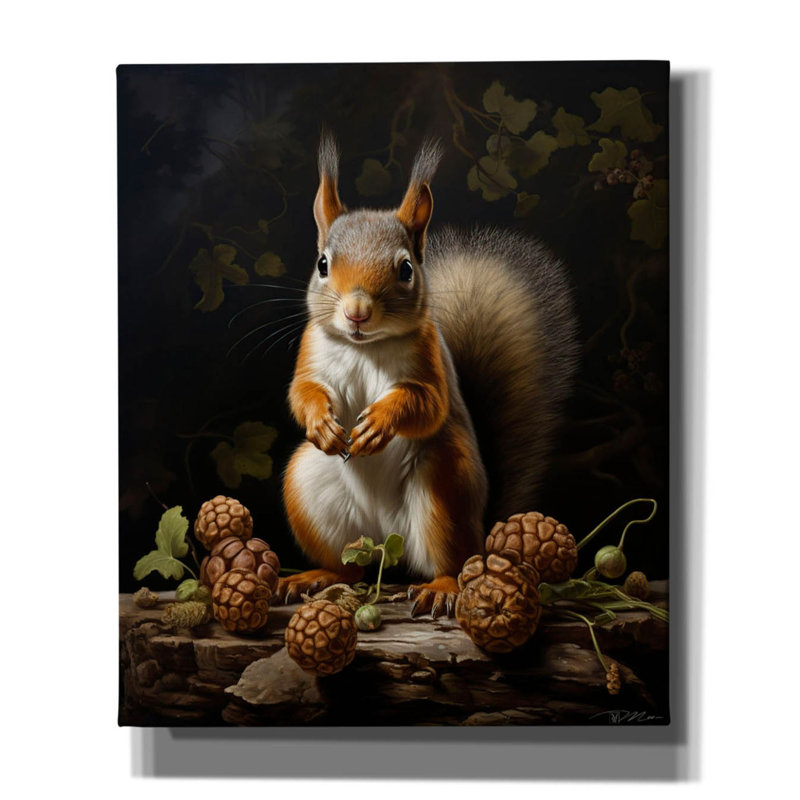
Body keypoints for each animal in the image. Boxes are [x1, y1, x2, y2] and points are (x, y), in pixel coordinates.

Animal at [276, 134, 579, 617]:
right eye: (322, 264)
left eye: (405, 269)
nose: (356, 312)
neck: (366, 347)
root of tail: (385, 542)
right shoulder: (312, 352)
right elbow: (302, 391)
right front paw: (321, 423)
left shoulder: (430, 360)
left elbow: (427, 404)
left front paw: (379, 423)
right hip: (309, 488)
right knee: (350, 569)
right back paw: (316, 576)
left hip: (444, 487)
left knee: (452, 562)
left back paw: (441, 589)